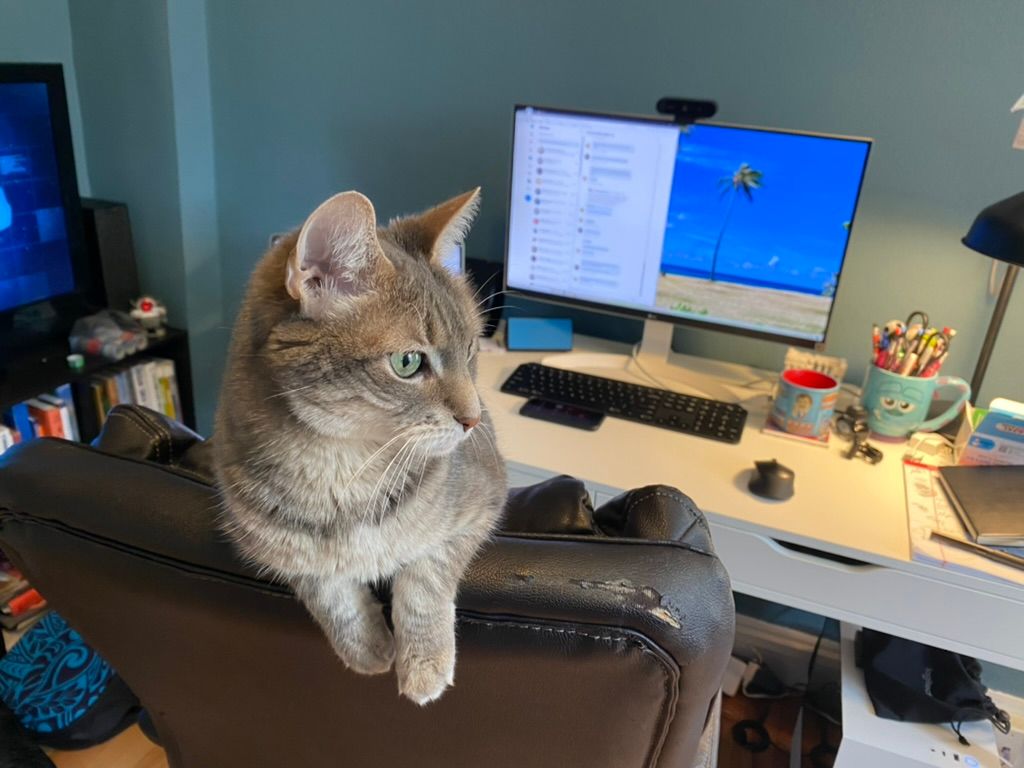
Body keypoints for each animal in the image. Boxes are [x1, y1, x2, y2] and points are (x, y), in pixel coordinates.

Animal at [212, 191, 507, 704]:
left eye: (472, 349)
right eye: (407, 362)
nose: (474, 420)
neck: (343, 468)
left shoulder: (483, 503)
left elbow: (425, 577)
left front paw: (424, 661)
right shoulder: (271, 548)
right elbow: (328, 593)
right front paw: (367, 648)